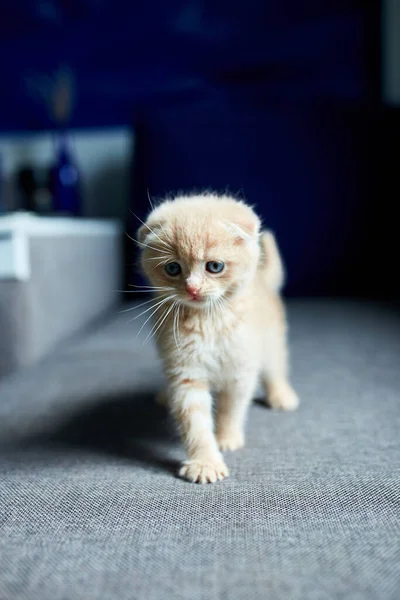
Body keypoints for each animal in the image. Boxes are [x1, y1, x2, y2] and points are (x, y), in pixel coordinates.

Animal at [137, 195, 296, 486]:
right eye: (173, 268)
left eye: (214, 266)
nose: (192, 288)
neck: (208, 320)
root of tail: (263, 279)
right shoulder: (184, 372)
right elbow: (194, 420)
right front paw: (204, 462)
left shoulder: (240, 369)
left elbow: (231, 408)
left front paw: (226, 437)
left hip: (271, 340)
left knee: (275, 366)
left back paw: (281, 394)